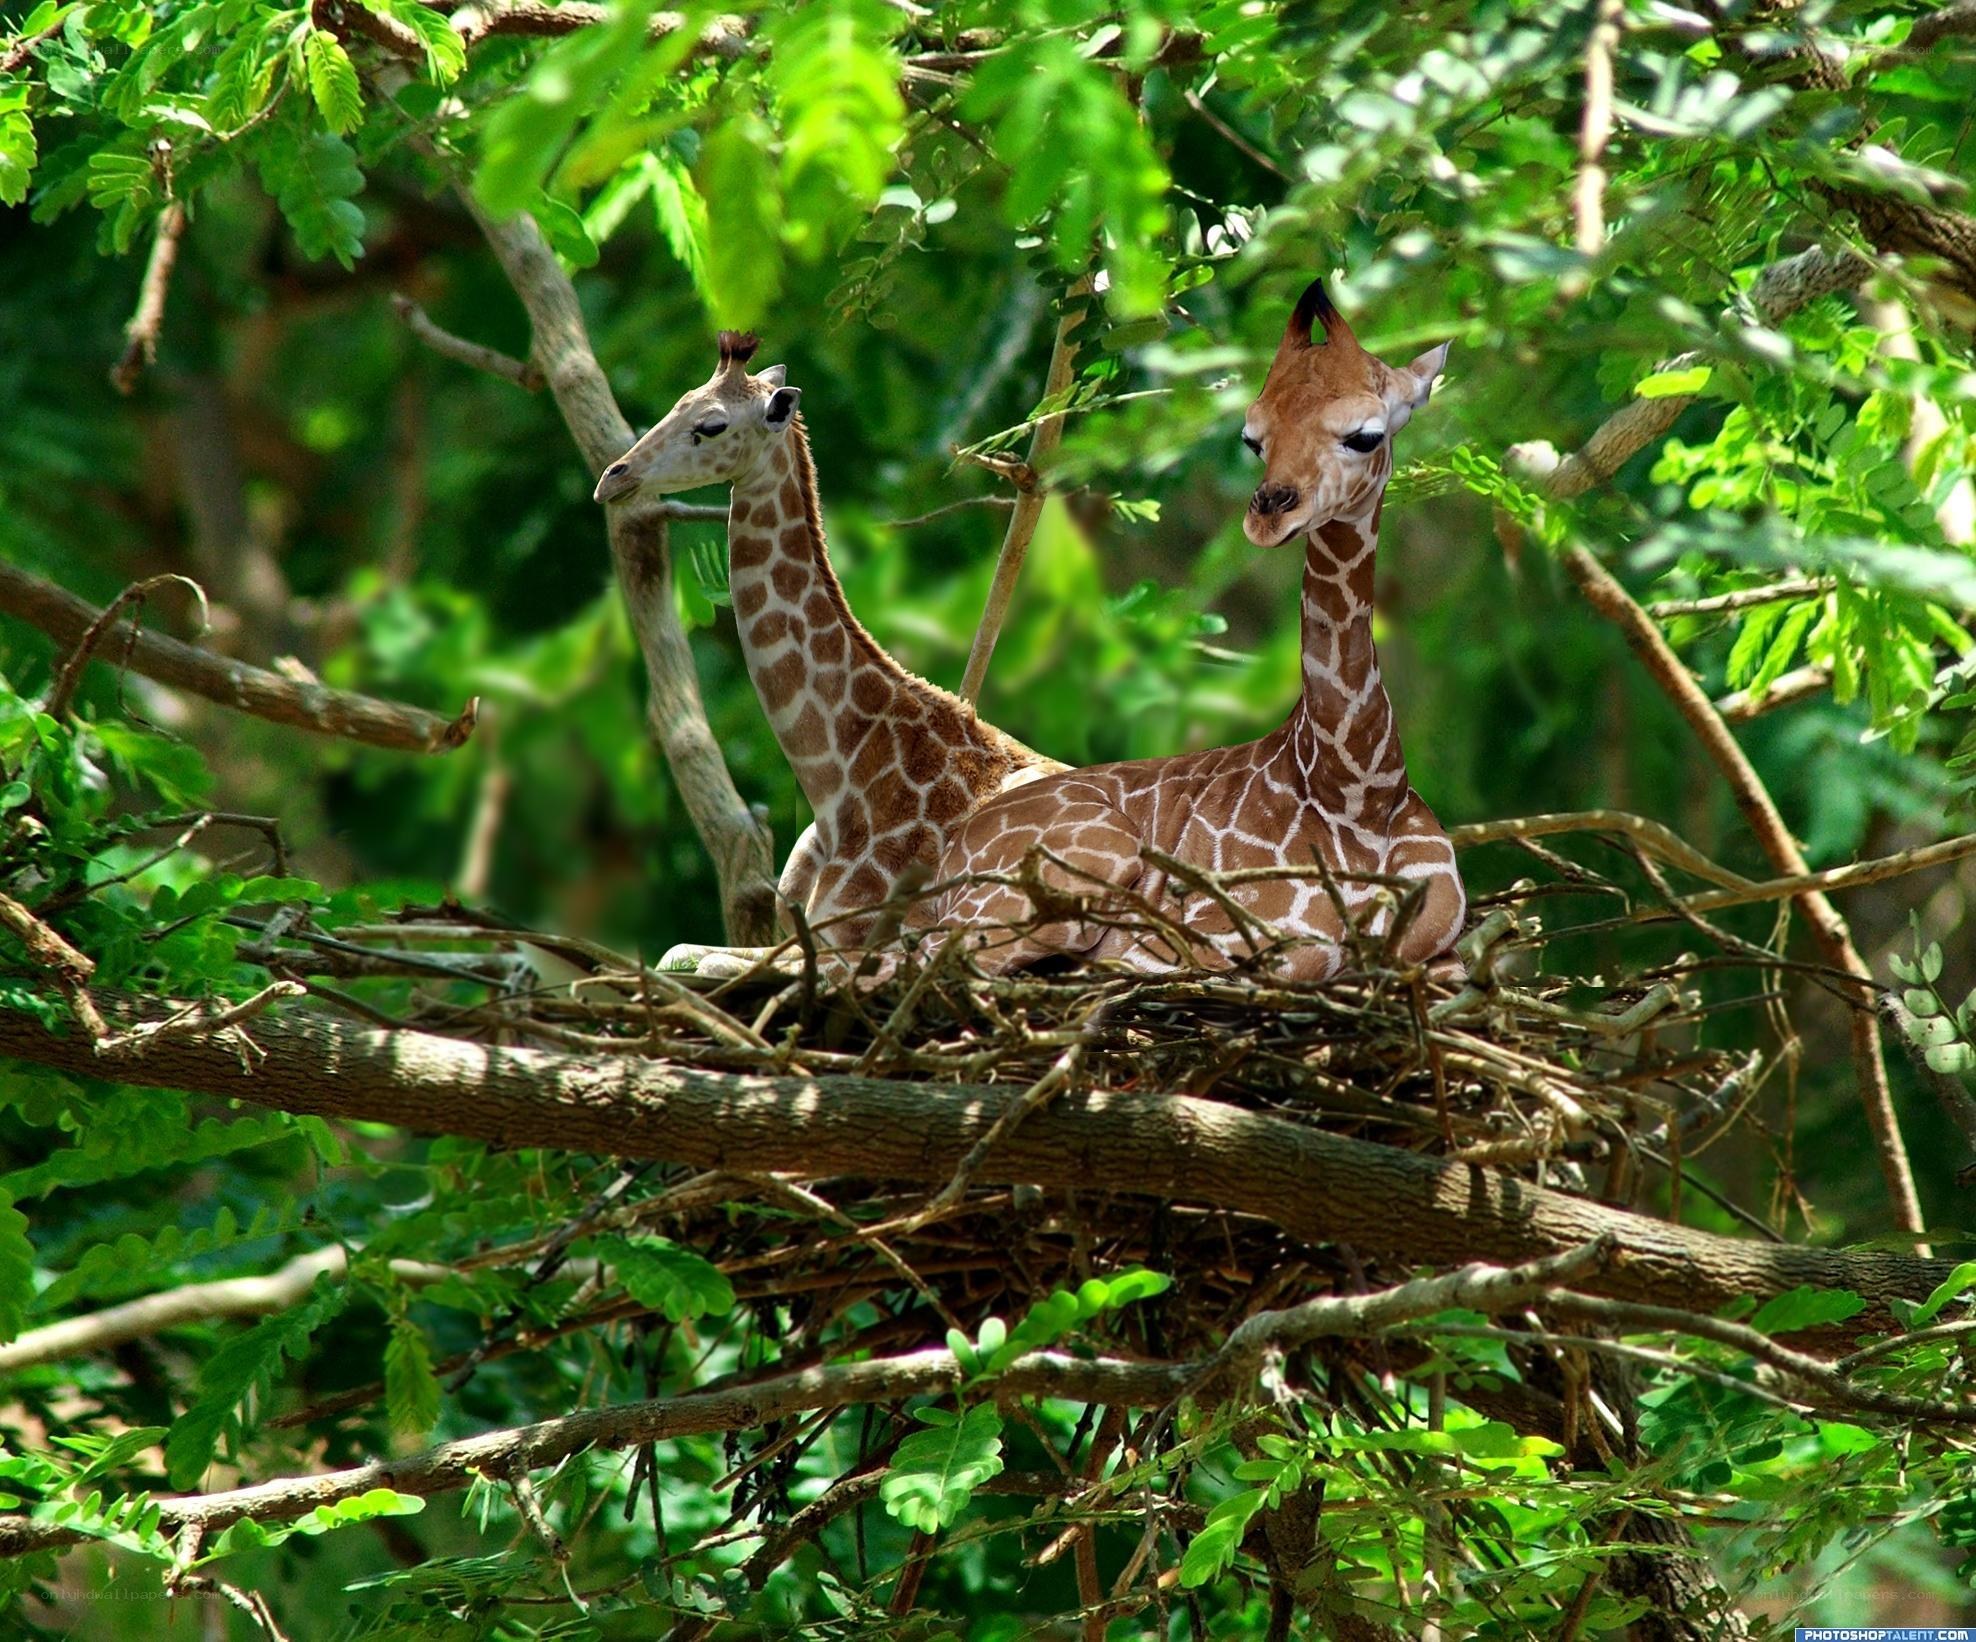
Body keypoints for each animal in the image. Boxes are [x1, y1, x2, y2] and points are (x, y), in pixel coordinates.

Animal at [594, 331, 1060, 972]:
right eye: (678, 401)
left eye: (711, 425)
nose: (613, 477)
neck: (834, 782)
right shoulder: (795, 929)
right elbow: (678, 952)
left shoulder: (849, 942)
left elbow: (708, 962)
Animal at [914, 280, 1465, 981]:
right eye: (1252, 438)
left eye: (1366, 435)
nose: (1267, 512)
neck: (1357, 788)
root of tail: (955, 847)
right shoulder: (1208, 941)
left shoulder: (1442, 949)